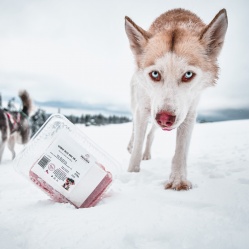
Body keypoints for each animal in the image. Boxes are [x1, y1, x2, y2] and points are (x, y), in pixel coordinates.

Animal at [125, 8, 229, 190]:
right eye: (155, 74)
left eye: (188, 75)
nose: (165, 118)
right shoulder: (144, 108)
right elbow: (138, 143)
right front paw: (131, 174)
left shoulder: (189, 113)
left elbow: (181, 150)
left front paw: (178, 180)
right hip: (140, 106)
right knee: (134, 128)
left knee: (151, 134)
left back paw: (147, 153)